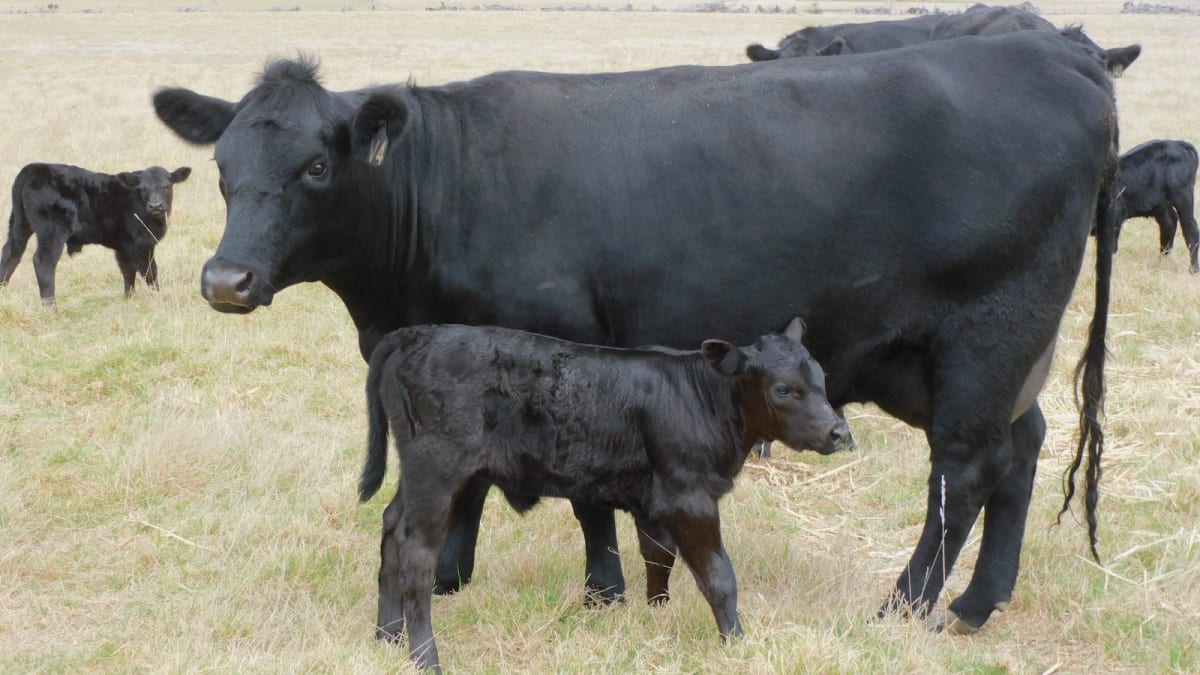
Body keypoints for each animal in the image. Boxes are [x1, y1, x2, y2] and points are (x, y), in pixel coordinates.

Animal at [1, 163, 191, 305]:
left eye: (167, 186)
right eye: (143, 188)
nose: (155, 206)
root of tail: (34, 168)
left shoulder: (124, 246)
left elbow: (127, 272)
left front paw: (128, 298)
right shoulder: (142, 244)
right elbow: (150, 272)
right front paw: (159, 297)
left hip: (18, 225)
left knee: (11, 255)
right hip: (52, 230)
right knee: (43, 262)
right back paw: (51, 308)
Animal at [360, 318, 850, 670]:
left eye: (823, 379)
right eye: (783, 389)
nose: (840, 433)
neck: (699, 398)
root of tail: (417, 333)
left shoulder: (654, 500)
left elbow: (658, 557)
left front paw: (657, 614)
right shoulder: (689, 496)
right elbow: (718, 575)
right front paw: (736, 643)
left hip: (420, 475)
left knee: (390, 530)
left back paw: (386, 638)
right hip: (436, 472)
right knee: (417, 555)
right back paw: (425, 657)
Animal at [1112, 139, 1200, 273]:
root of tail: (1178, 143)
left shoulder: (1116, 215)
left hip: (1183, 196)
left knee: (1190, 229)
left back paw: (1194, 269)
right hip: (1161, 204)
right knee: (1169, 222)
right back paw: (1162, 262)